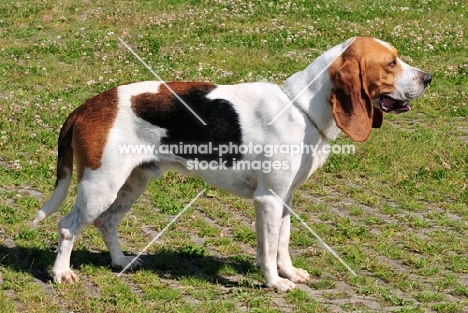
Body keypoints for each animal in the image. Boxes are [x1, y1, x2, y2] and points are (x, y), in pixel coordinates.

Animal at [33, 37, 432, 292]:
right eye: (391, 63)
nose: (429, 78)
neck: (302, 108)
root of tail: (88, 105)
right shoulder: (268, 199)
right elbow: (268, 249)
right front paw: (275, 283)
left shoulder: (284, 199)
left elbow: (281, 242)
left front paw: (288, 273)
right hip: (100, 186)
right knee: (68, 227)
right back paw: (61, 274)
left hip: (132, 183)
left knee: (107, 222)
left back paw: (120, 262)